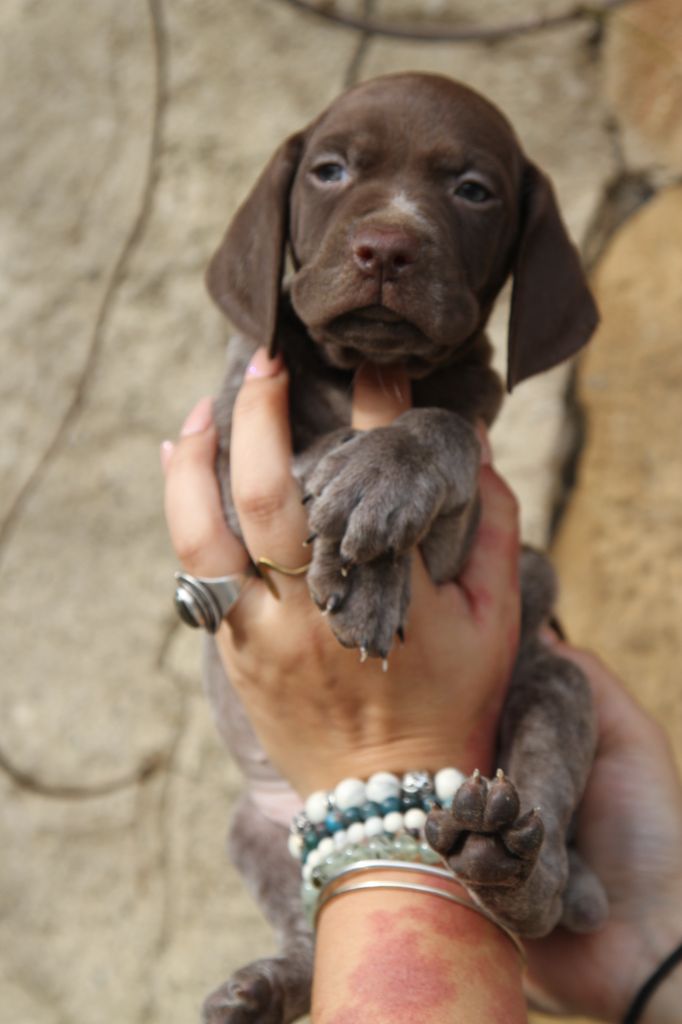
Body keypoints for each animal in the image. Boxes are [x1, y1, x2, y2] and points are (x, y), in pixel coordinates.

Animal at [199, 74, 602, 1024]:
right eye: (330, 171)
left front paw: (379, 484)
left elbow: (439, 427)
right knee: (310, 917)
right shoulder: (233, 435)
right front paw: (354, 529)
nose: (386, 248)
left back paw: (508, 864)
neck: (369, 372)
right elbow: (303, 458)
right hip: (254, 835)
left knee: (541, 854)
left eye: (474, 190)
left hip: (555, 691)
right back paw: (265, 988)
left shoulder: (480, 487)